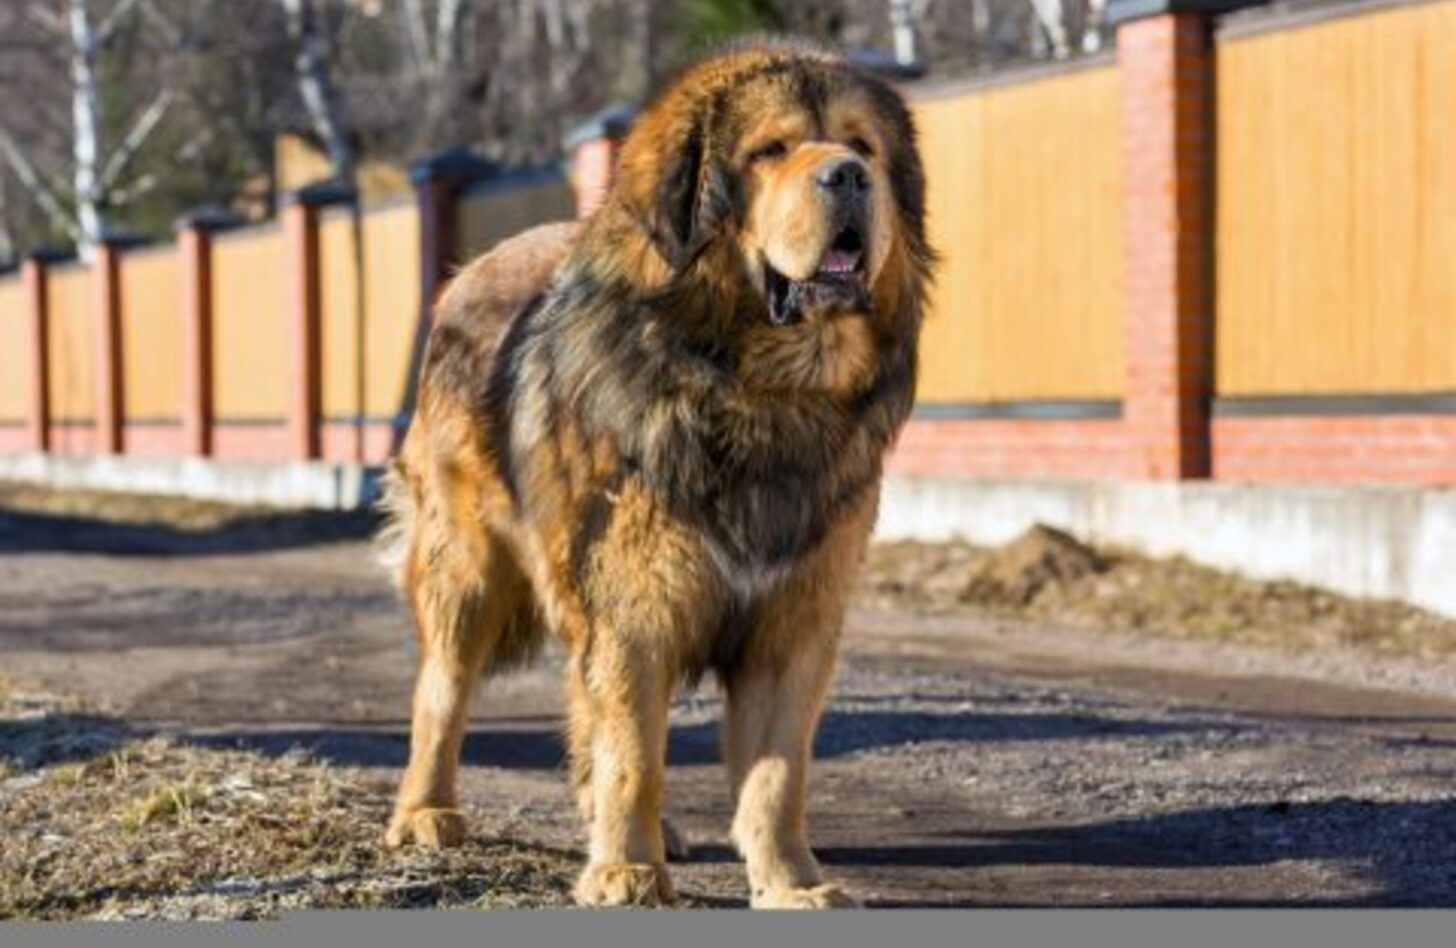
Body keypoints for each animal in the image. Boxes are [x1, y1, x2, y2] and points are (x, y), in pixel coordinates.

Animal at [381, 40, 926, 908]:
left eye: (861, 146)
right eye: (771, 150)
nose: (847, 176)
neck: (763, 393)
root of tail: (467, 273)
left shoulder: (795, 622)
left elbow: (776, 775)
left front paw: (790, 882)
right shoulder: (636, 607)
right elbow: (636, 751)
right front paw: (628, 872)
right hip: (466, 570)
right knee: (442, 692)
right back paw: (426, 813)